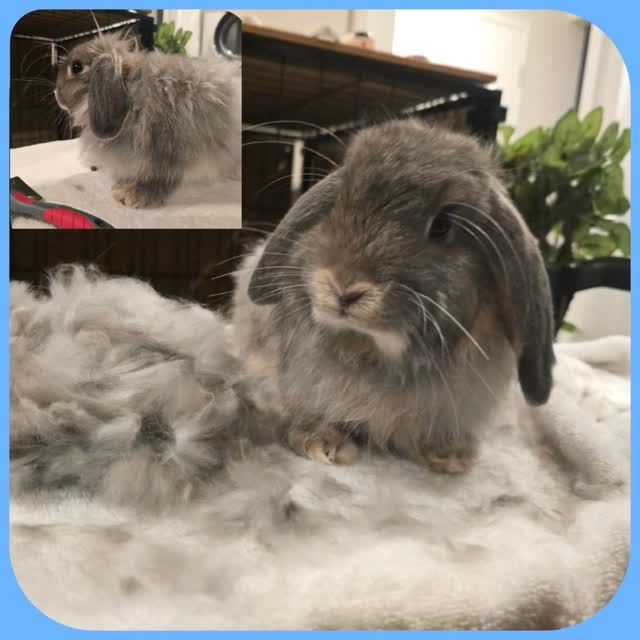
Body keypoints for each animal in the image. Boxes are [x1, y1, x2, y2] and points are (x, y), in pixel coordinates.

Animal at [55, 32, 241, 209]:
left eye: (76, 67)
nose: (56, 94)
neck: (134, 97)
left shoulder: (167, 152)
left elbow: (160, 178)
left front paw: (132, 196)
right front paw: (121, 186)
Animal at [231, 119, 555, 474]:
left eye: (442, 225)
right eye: (340, 203)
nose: (344, 287)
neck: (373, 348)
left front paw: (451, 456)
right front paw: (322, 443)